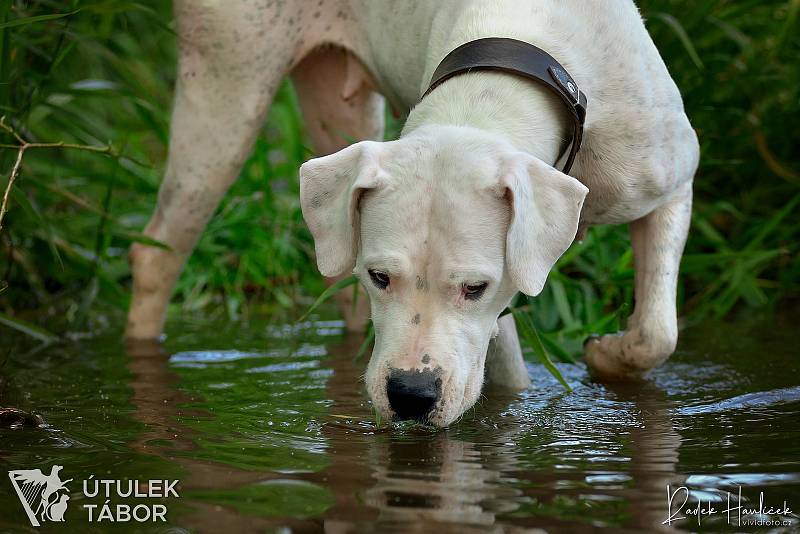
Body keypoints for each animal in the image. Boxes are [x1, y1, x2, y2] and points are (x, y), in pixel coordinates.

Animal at [125, 0, 692, 428]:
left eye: (475, 288)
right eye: (381, 276)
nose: (410, 394)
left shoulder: (673, 185)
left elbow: (657, 332)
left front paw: (608, 356)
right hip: (226, 97)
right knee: (160, 253)